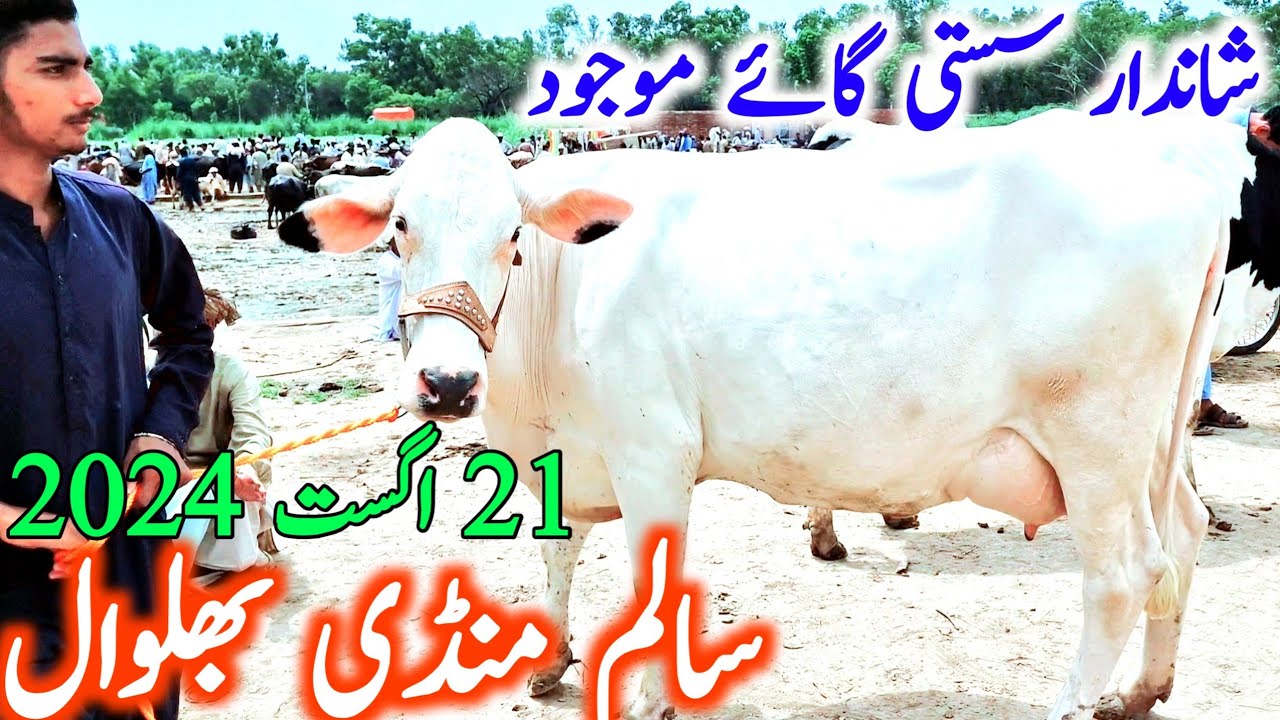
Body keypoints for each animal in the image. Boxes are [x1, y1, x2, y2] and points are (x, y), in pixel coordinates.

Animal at [276, 115, 1244, 720]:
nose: (444, 383)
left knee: (1122, 575)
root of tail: (1183, 176)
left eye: (512, 239)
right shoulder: (573, 452)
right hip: (1154, 445)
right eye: (401, 228)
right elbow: (558, 551)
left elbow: (653, 580)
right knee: (1185, 534)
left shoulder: (653, 451)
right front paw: (550, 661)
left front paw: (649, 696)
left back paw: (1074, 704)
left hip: (1097, 442)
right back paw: (1141, 691)